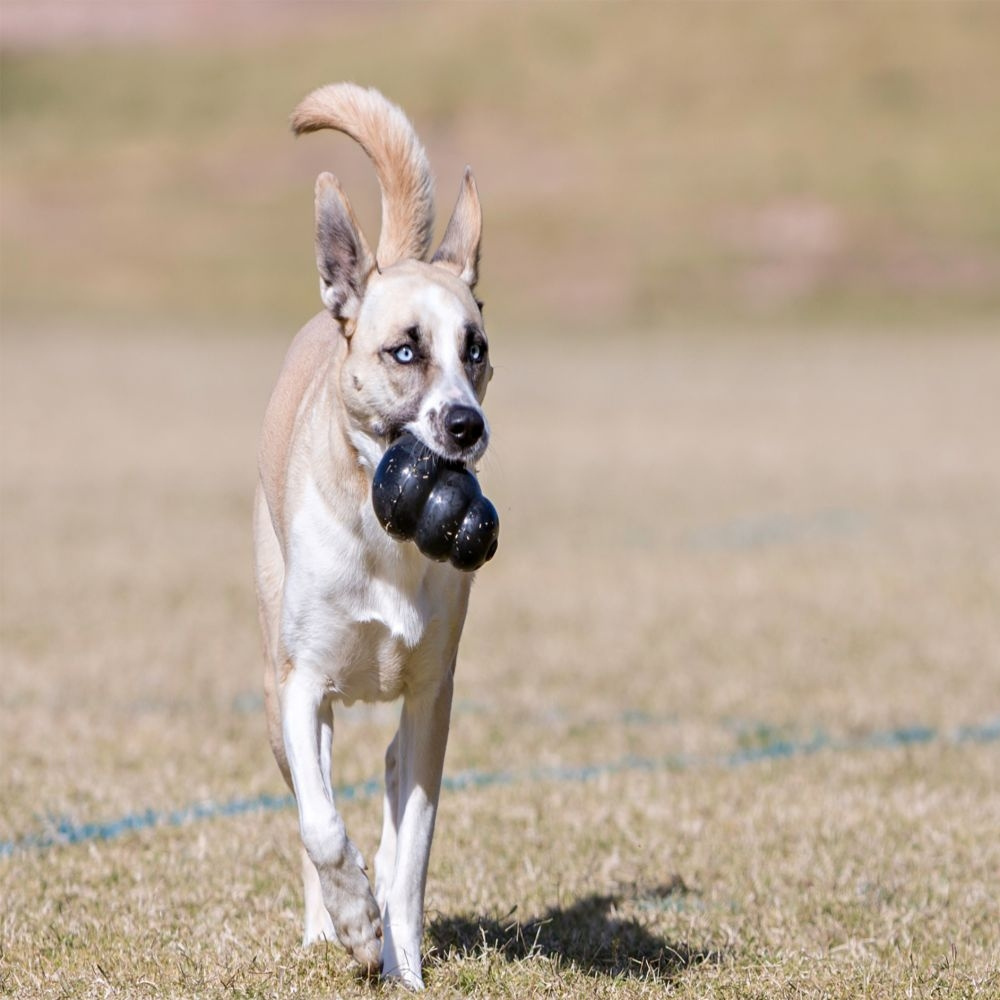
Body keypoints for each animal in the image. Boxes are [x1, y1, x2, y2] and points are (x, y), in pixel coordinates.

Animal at [254, 82, 492, 988]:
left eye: (476, 350)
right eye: (404, 352)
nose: (465, 426)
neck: (387, 532)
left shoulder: (433, 696)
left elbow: (414, 846)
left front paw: (403, 962)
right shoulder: (300, 683)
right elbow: (321, 822)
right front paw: (356, 922)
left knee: (390, 779)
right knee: (309, 794)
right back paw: (330, 925)